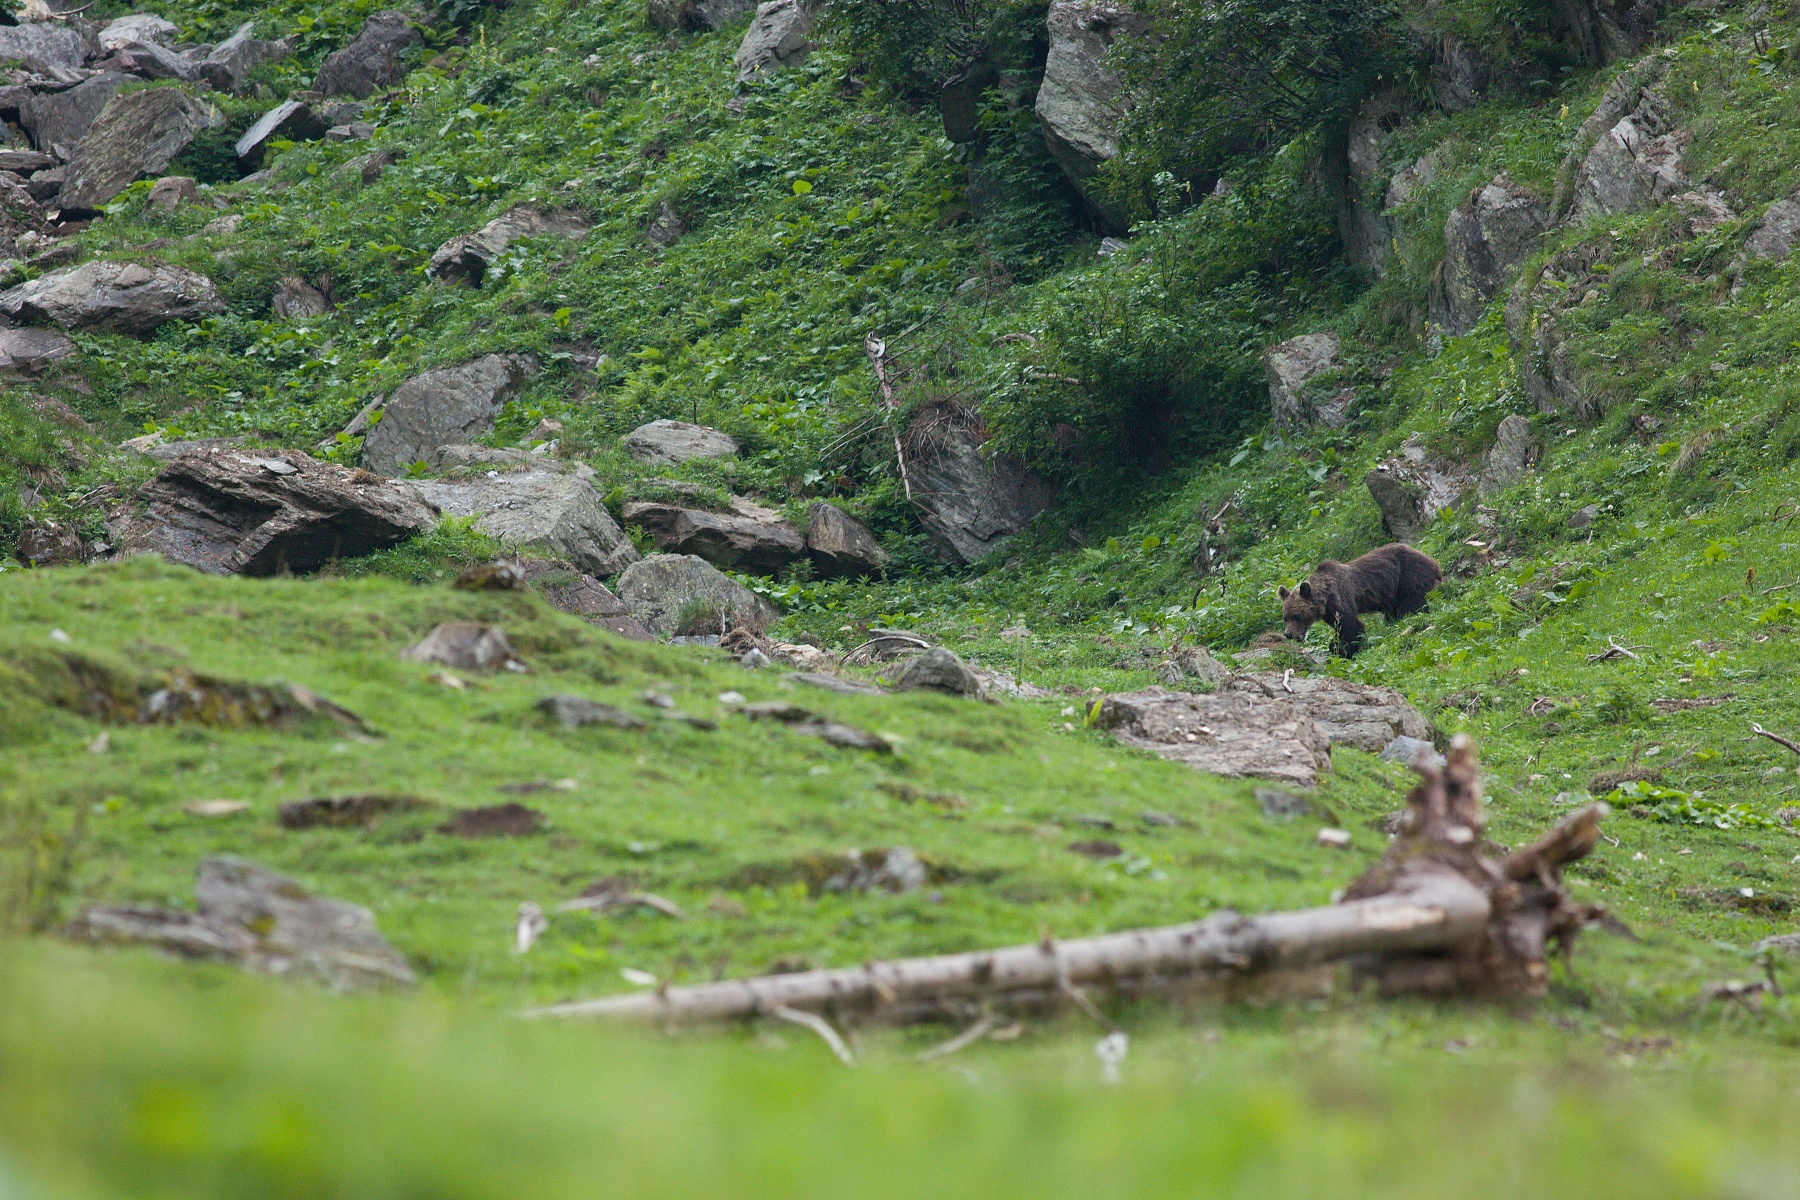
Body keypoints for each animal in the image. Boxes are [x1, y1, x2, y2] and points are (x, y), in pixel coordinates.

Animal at [1274, 543, 1440, 658]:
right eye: (1285, 617)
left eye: (1297, 615)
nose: (1288, 634)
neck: (1324, 599)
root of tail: (1434, 562)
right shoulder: (1329, 613)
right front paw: (1336, 646)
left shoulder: (1340, 599)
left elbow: (1351, 626)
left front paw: (1345, 650)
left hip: (1410, 577)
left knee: (1410, 607)